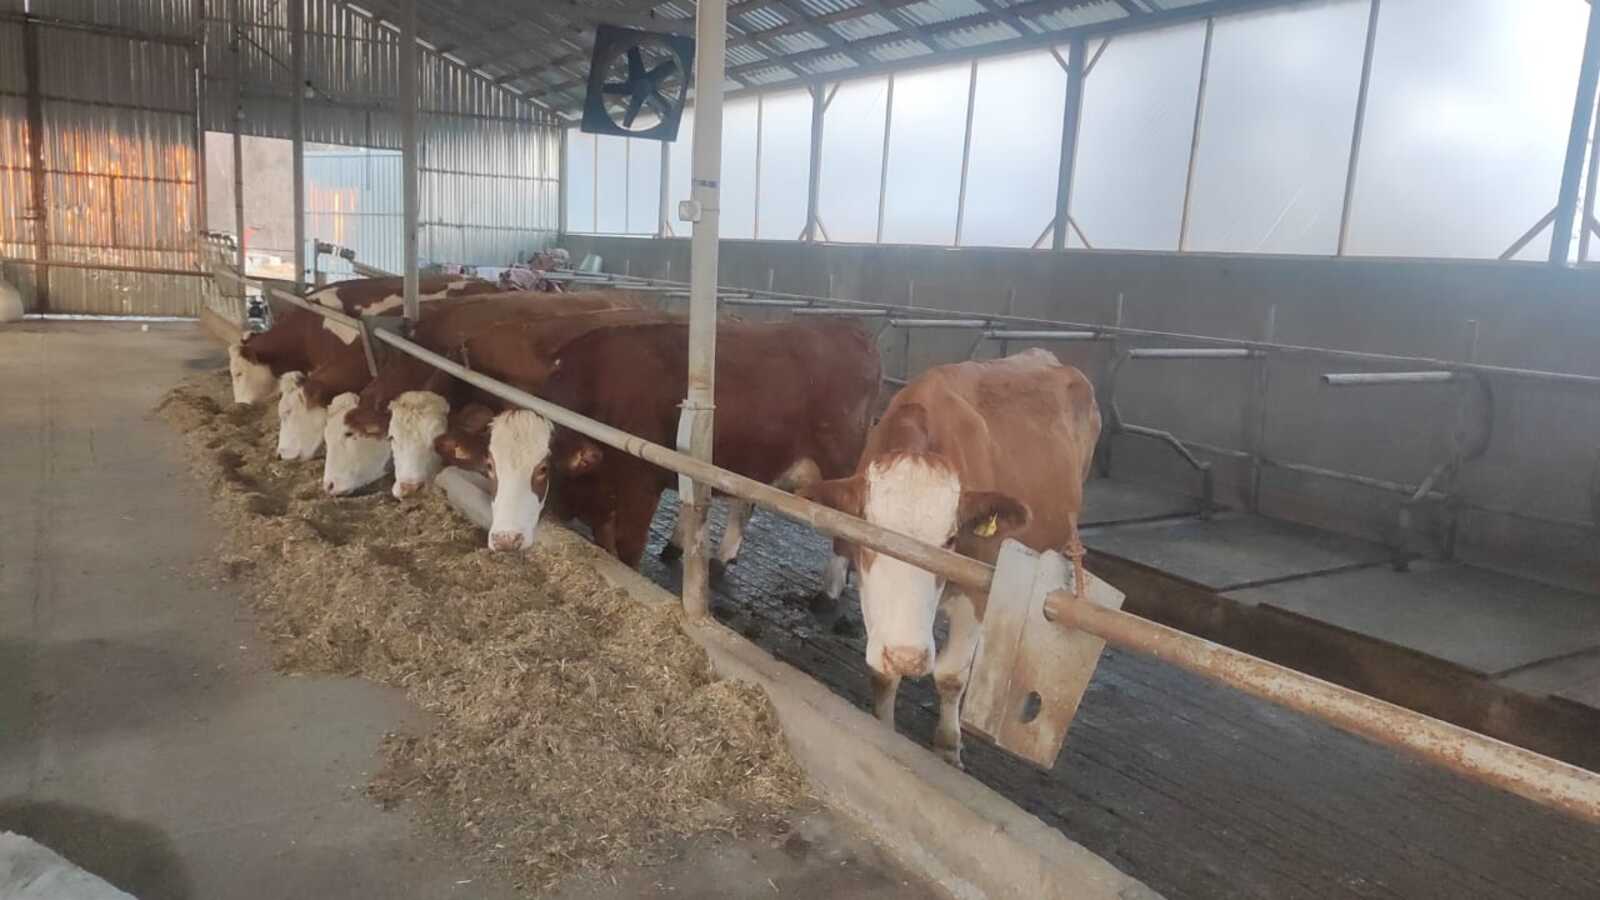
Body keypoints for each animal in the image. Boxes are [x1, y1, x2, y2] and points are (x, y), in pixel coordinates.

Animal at [432, 320, 880, 586]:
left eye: (542, 469)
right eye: (490, 466)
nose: (506, 539)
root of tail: (843, 327)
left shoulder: (639, 492)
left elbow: (628, 553)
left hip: (841, 461)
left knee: (849, 526)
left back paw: (831, 594)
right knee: (745, 503)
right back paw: (719, 558)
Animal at [799, 349, 1100, 768]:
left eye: (952, 538)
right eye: (868, 532)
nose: (908, 657)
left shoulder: (980, 593)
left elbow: (951, 675)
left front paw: (947, 746)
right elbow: (882, 673)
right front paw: (884, 729)